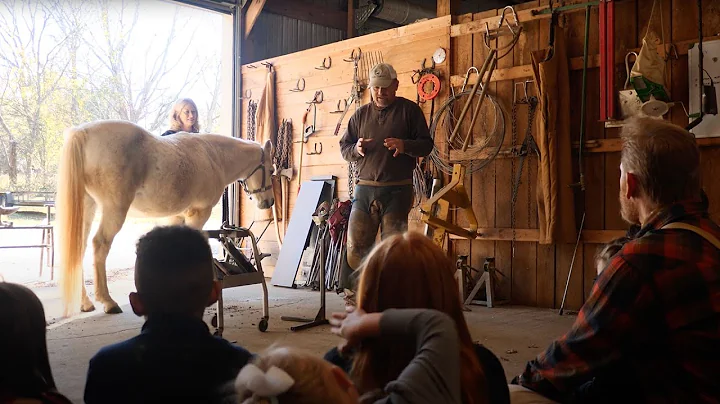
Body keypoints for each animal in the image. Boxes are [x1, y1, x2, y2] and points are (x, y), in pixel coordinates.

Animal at [55, 120, 276, 316]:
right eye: (272, 170)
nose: (269, 202)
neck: (213, 156)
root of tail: (82, 132)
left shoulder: (176, 217)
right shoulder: (199, 213)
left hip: (87, 209)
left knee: (79, 248)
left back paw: (86, 303)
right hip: (114, 210)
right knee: (100, 245)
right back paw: (108, 302)